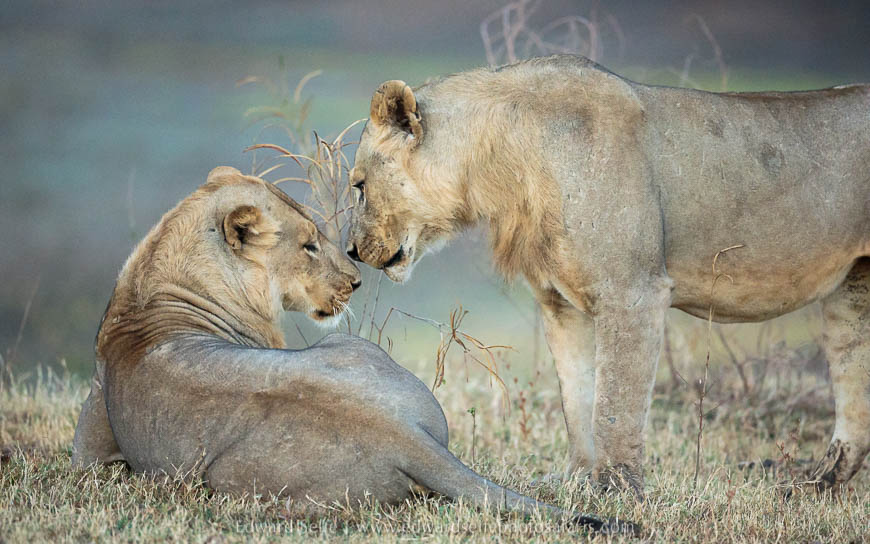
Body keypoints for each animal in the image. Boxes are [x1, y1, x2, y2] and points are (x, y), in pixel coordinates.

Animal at [70, 166, 619, 531]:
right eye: (309, 245)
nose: (356, 282)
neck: (153, 285)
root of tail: (402, 435)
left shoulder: (90, 453)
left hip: (234, 473)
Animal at [345, 54, 870, 496]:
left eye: (359, 186)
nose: (351, 250)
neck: (506, 164)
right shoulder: (562, 305)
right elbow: (577, 400)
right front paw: (579, 481)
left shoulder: (634, 293)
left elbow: (615, 405)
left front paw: (620, 489)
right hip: (853, 294)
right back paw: (816, 484)